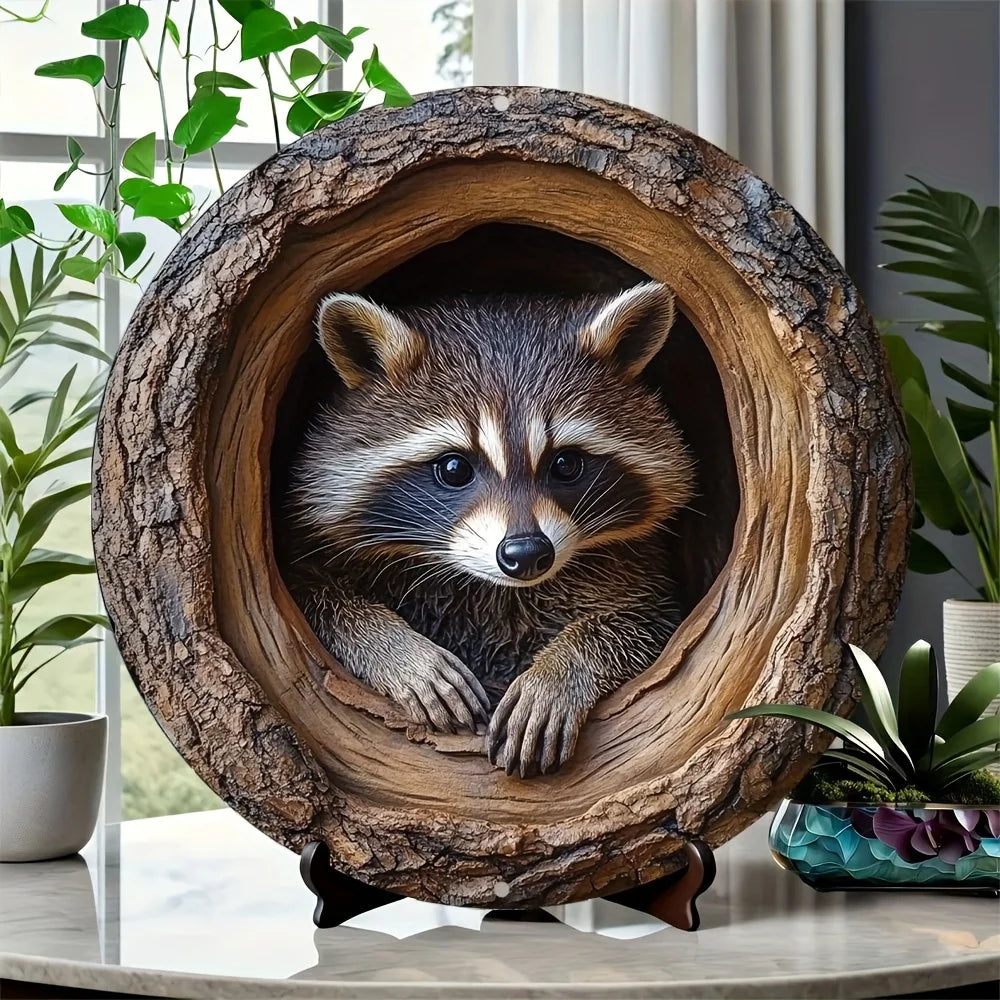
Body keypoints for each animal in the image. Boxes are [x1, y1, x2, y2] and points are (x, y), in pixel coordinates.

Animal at [286, 282, 695, 778]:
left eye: (566, 464)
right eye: (454, 468)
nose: (526, 553)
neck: (493, 588)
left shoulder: (635, 571)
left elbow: (641, 622)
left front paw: (560, 671)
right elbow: (317, 596)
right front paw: (398, 650)